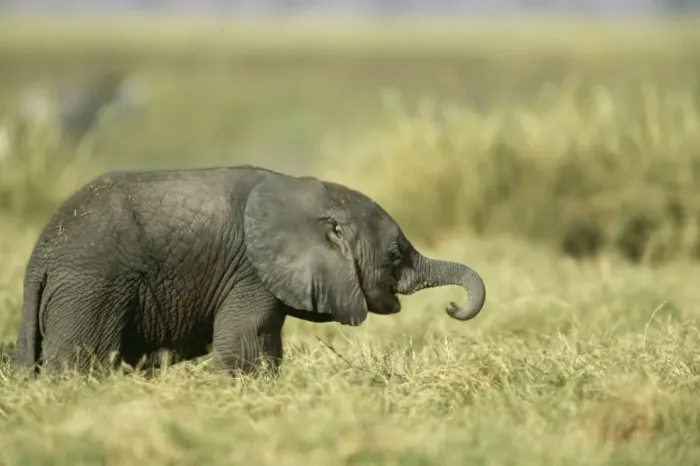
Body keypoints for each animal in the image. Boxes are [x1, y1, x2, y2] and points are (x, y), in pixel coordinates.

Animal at [13, 165, 486, 377]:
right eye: (394, 254)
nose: (451, 307)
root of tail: (41, 254)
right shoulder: (250, 272)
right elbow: (245, 344)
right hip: (92, 289)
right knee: (81, 362)